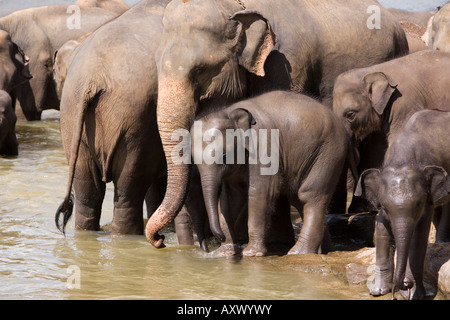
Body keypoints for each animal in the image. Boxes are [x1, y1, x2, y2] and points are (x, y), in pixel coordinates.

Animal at [189, 91, 356, 256]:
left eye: (224, 156)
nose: (219, 239)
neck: (229, 112)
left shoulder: (263, 147)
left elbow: (260, 193)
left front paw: (251, 253)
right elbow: (230, 197)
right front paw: (226, 252)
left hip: (329, 153)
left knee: (310, 194)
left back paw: (299, 253)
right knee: (298, 199)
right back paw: (322, 251)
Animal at [356, 110, 450, 300]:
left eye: (419, 204)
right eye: (384, 206)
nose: (404, 286)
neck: (403, 159)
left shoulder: (427, 197)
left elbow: (418, 235)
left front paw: (414, 294)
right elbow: (382, 229)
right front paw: (377, 291)